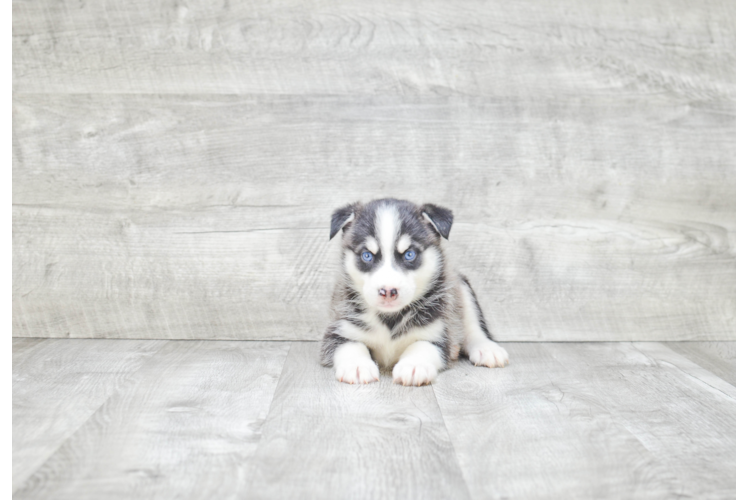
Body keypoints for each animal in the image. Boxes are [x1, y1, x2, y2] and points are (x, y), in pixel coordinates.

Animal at [320, 197, 508, 384]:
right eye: (367, 255)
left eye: (409, 254)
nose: (388, 291)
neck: (390, 320)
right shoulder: (339, 329)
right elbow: (351, 345)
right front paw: (357, 366)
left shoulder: (438, 333)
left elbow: (422, 345)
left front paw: (414, 365)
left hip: (460, 286)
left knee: (472, 325)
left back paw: (486, 348)